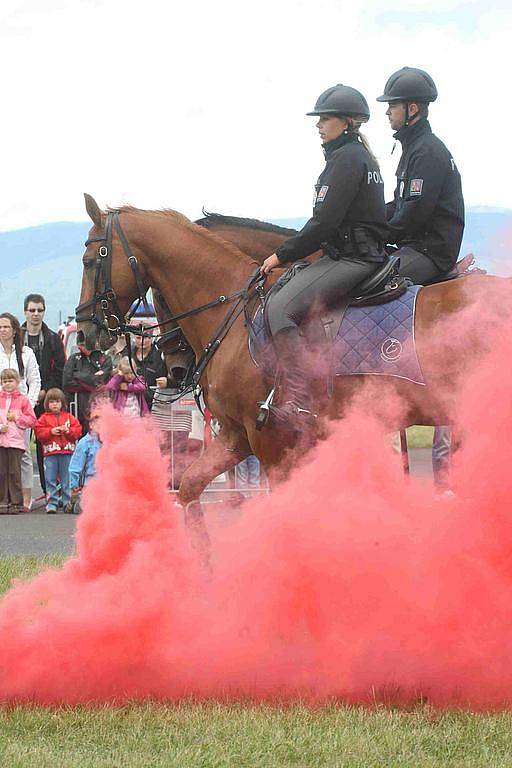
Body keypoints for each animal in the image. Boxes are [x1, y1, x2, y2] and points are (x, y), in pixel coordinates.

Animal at [77, 195, 508, 544]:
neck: (240, 316)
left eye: (89, 260)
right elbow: (189, 487)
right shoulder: (238, 435)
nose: (85, 330)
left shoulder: (272, 441)